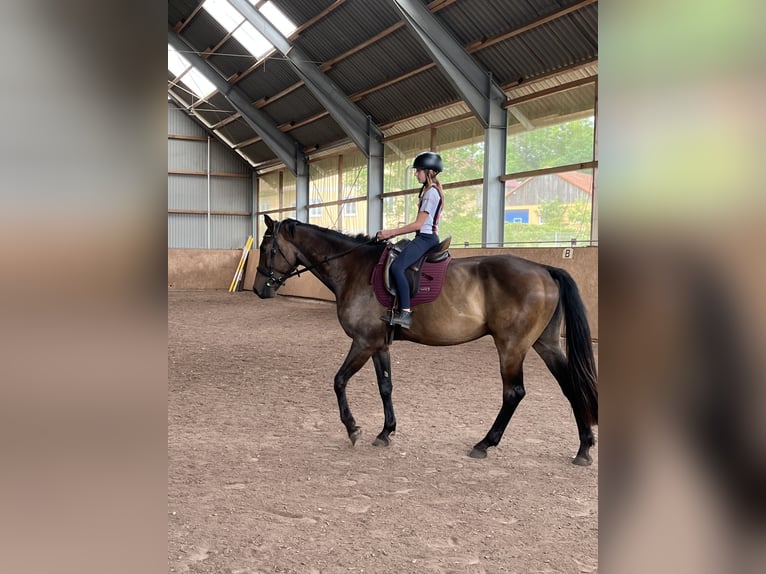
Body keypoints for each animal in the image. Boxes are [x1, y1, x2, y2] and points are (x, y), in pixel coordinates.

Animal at [253, 215, 598, 465]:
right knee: (570, 386)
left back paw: (484, 444)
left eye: (268, 249)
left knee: (514, 392)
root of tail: (544, 269)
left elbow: (339, 381)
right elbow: (385, 386)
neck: (354, 270)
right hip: (545, 344)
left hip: (512, 346)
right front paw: (386, 432)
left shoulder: (363, 342)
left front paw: (353, 429)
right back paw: (583, 448)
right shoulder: (379, 344)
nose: (258, 289)